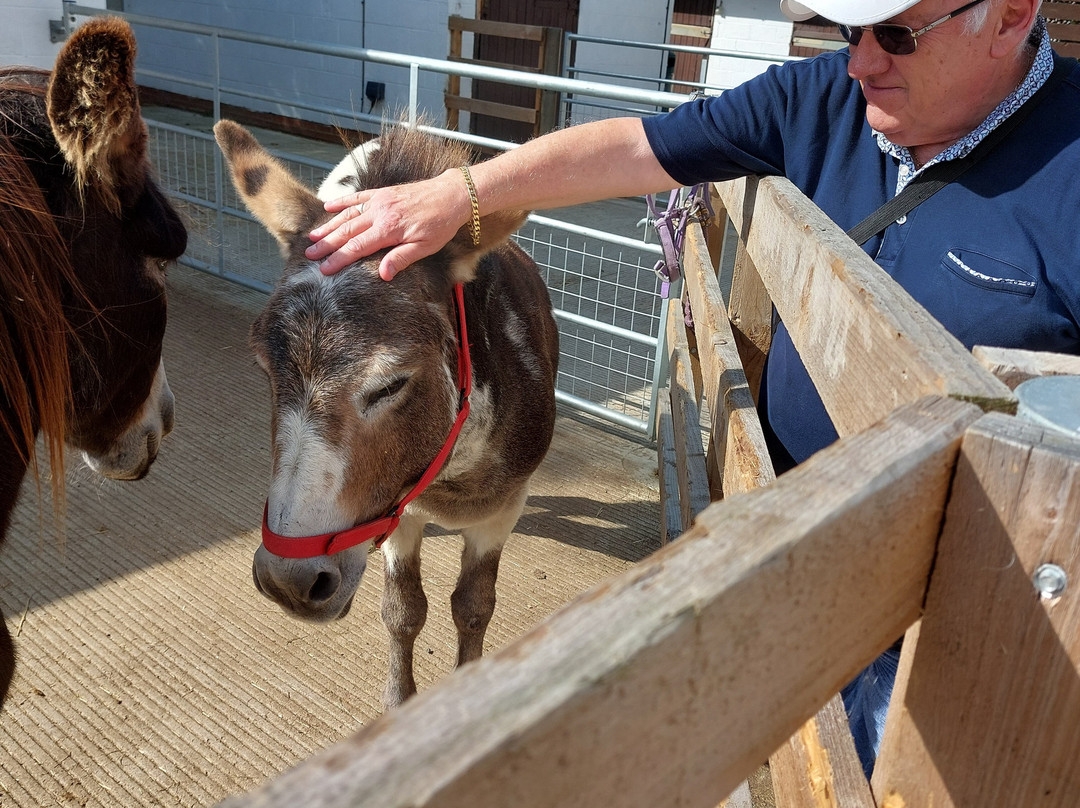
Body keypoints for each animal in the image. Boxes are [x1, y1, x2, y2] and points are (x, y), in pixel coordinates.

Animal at [214, 119, 559, 708]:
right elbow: (403, 611)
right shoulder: (398, 514)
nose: (288, 583)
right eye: (263, 368)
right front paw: (400, 703)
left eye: (393, 384)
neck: (451, 477)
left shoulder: (500, 513)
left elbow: (474, 608)